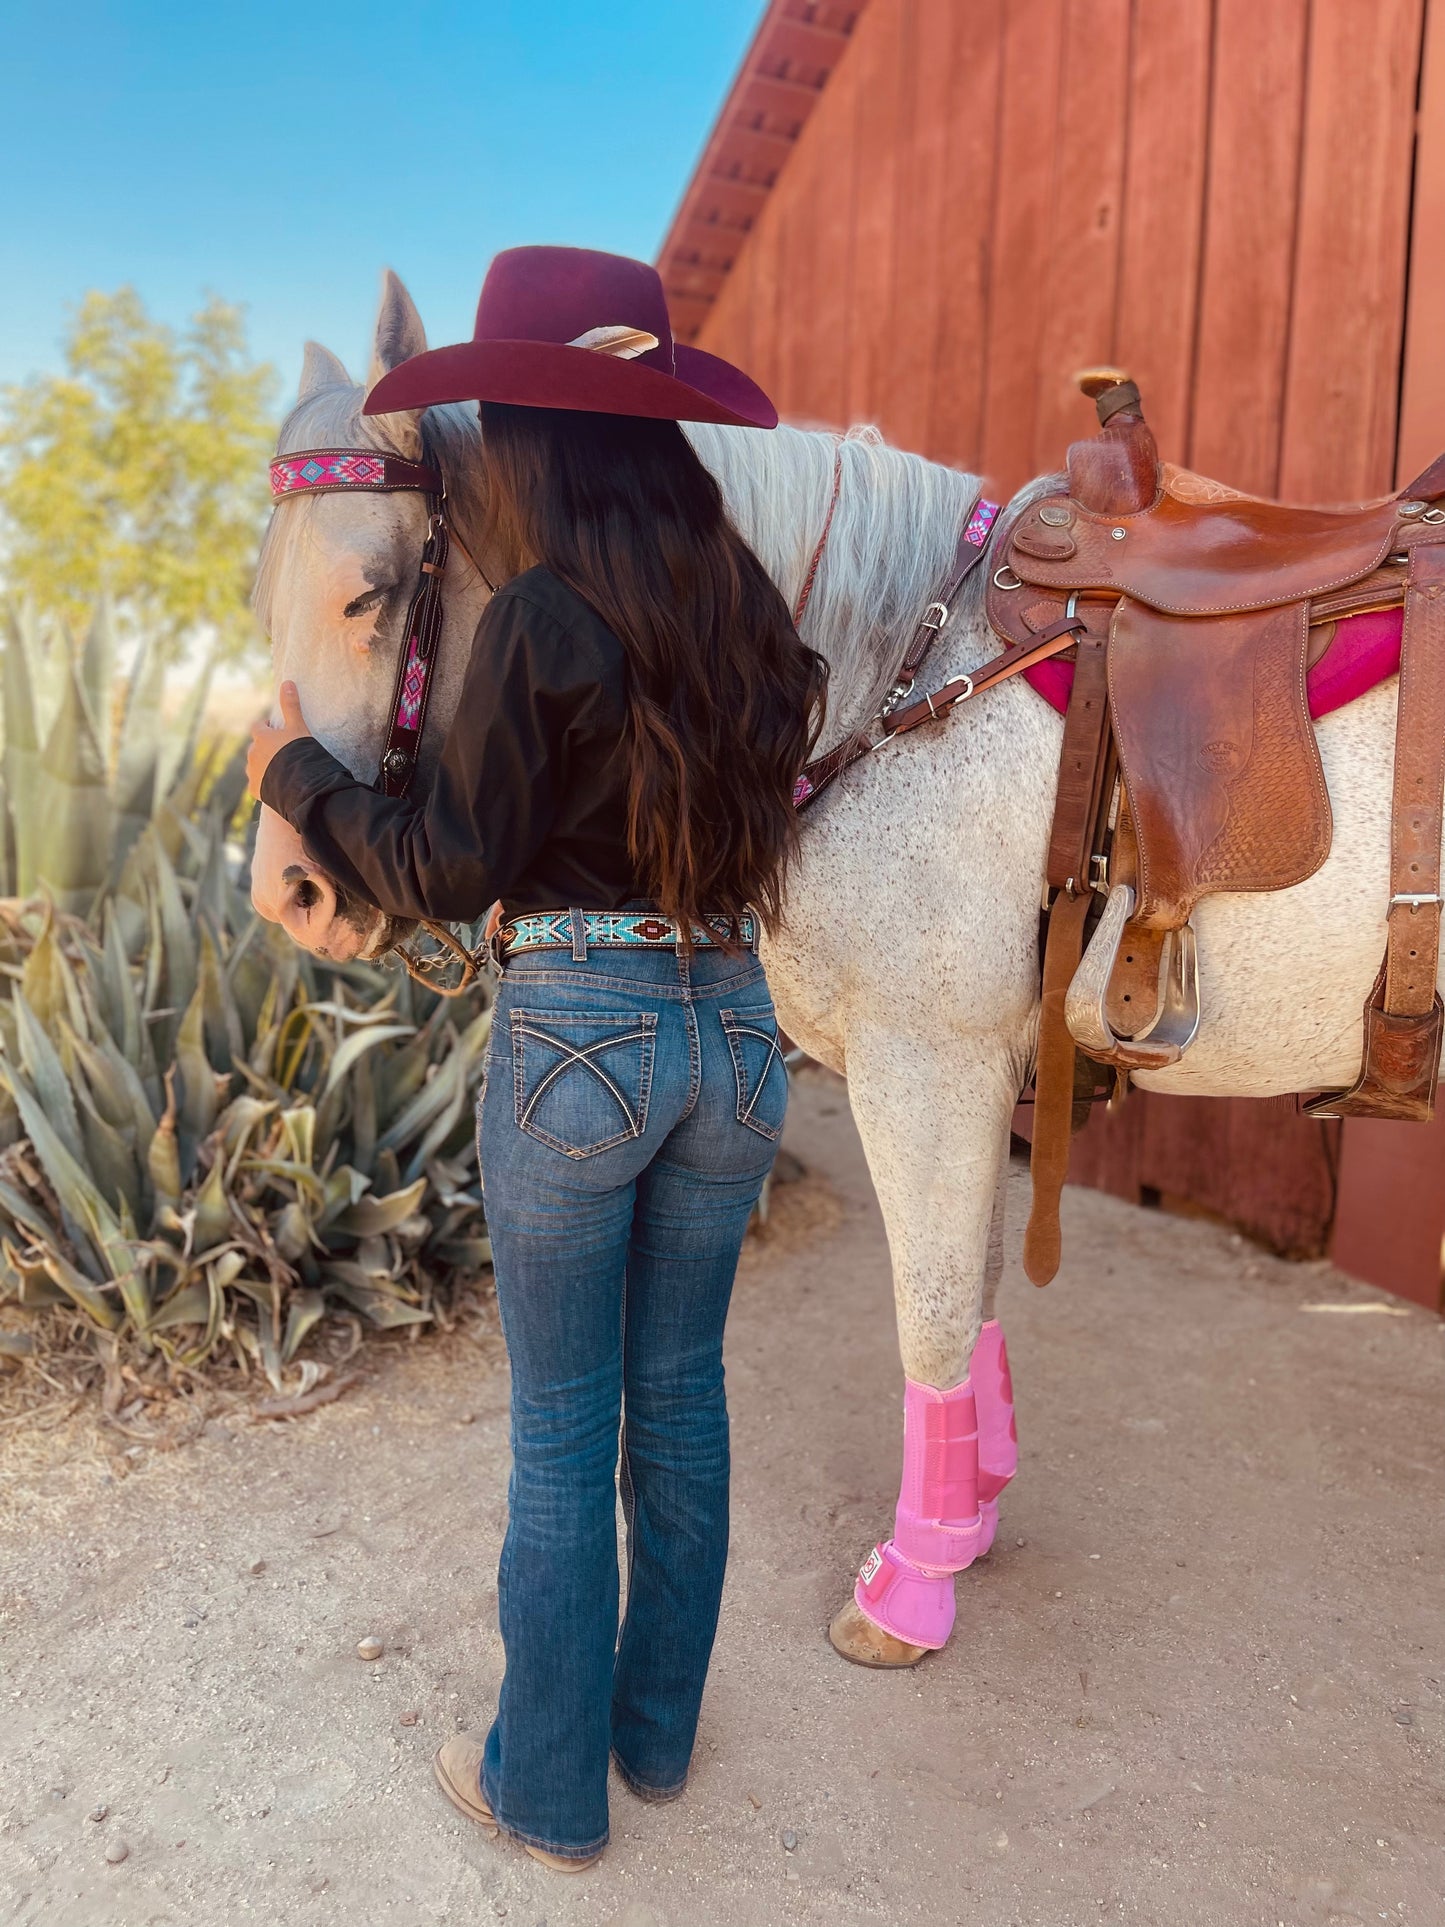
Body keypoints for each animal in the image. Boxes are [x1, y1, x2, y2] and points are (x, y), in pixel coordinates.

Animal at [250, 273, 1417, 1666]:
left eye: (369, 592)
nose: (291, 891)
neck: (899, 669)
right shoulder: (983, 1070)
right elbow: (971, 1293)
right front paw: (970, 1515)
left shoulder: (926, 1065)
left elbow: (930, 1314)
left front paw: (913, 1581)